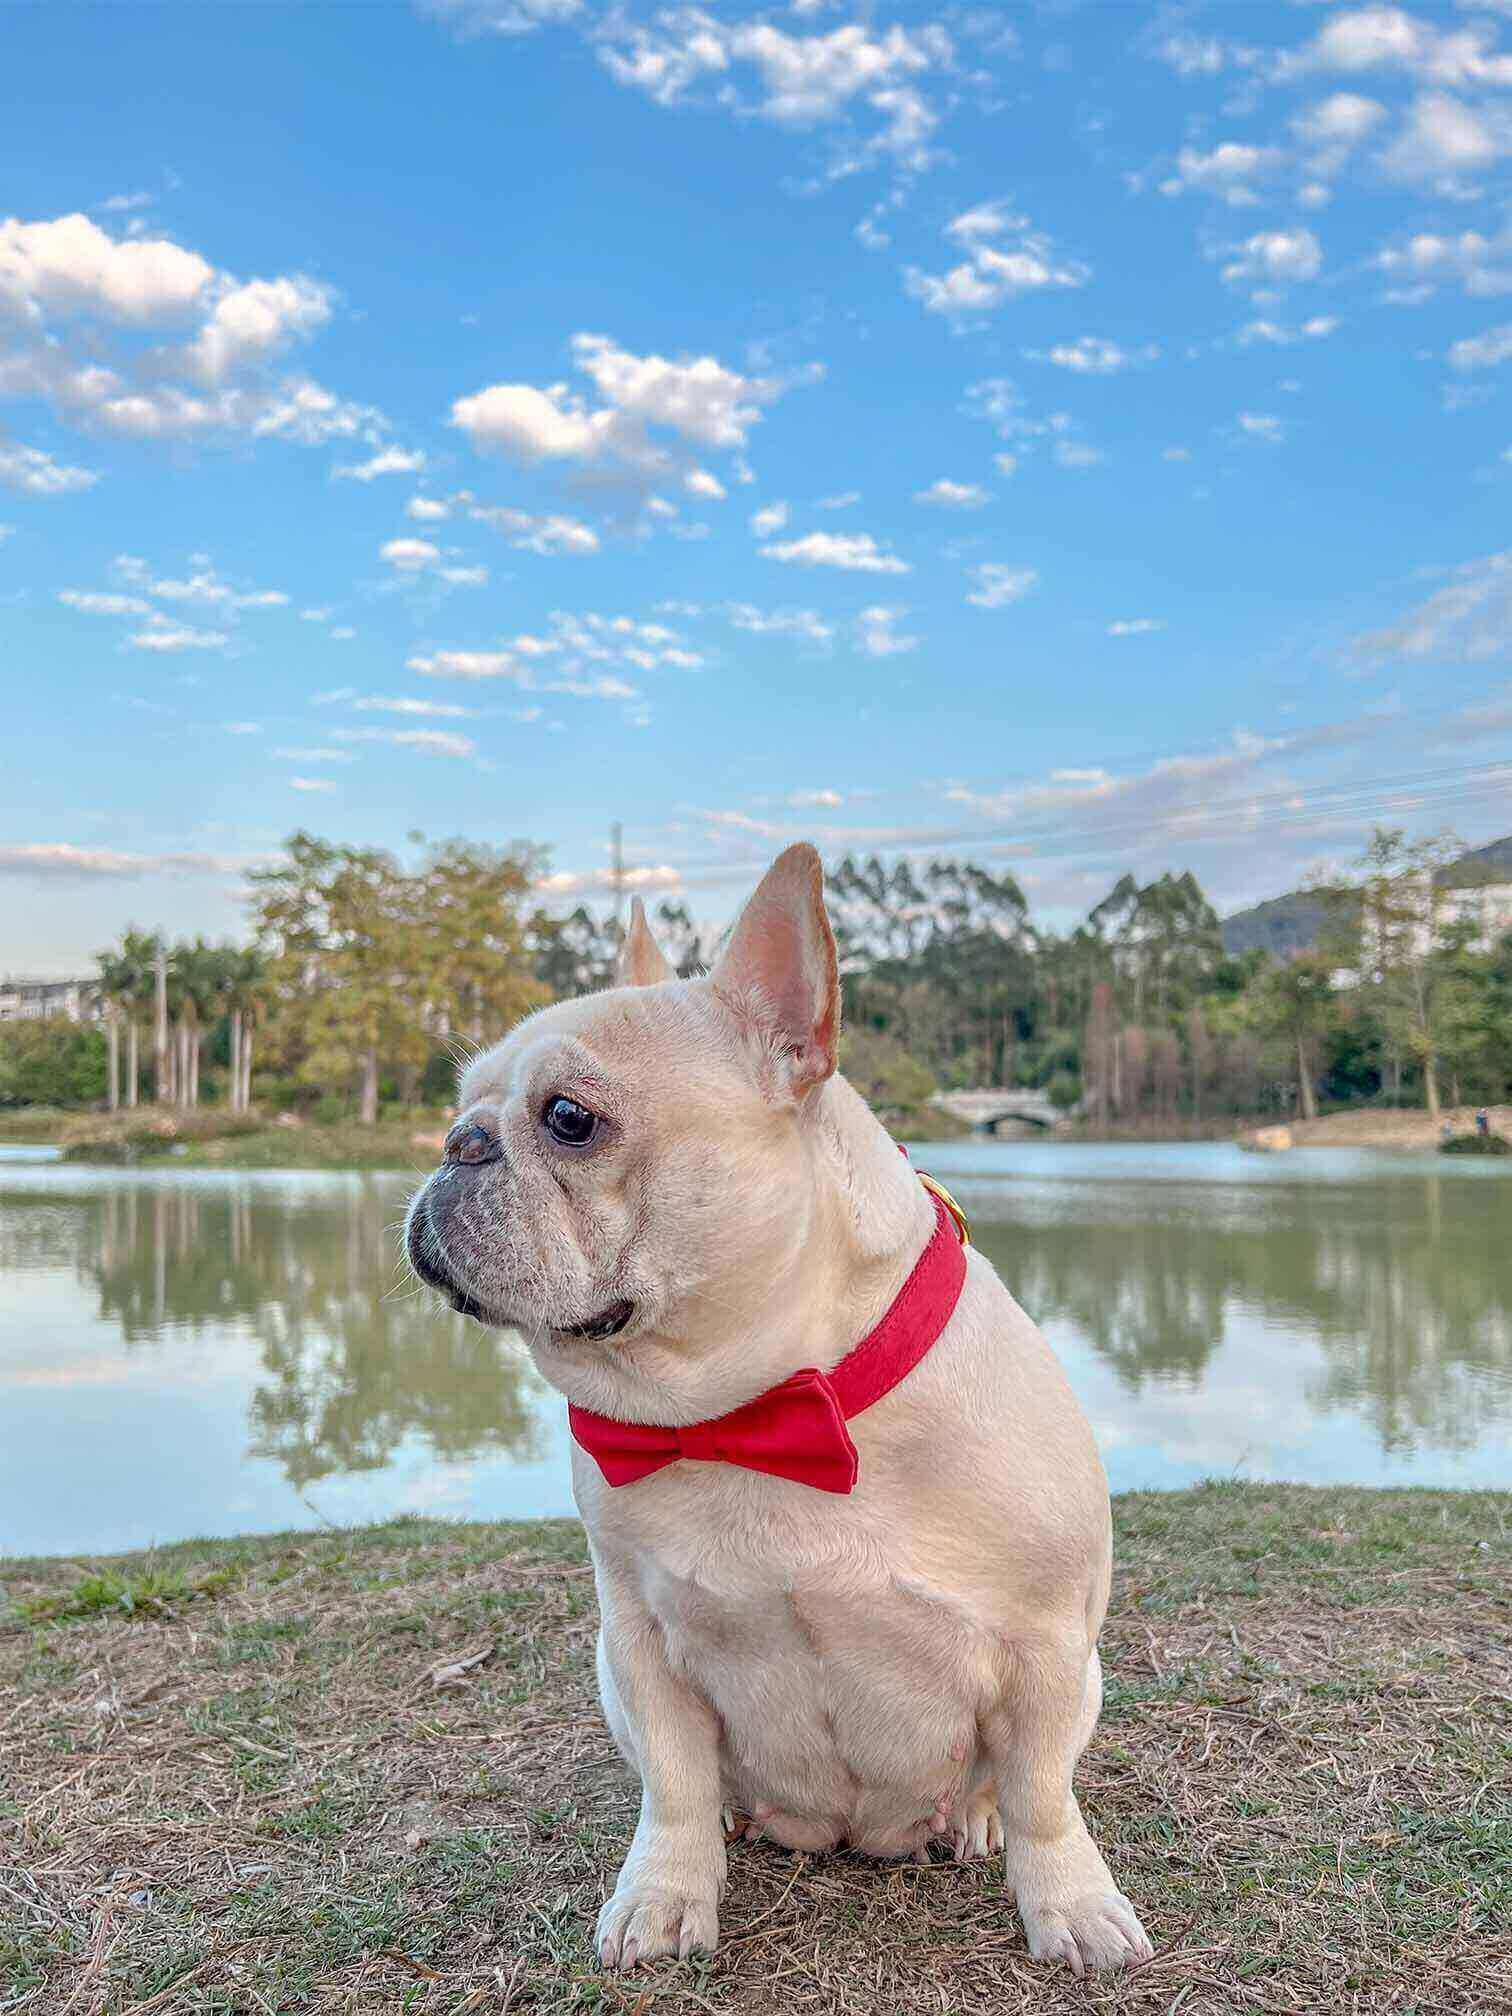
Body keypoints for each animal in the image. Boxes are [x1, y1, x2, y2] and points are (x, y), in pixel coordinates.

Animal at [409, 842, 1153, 1975]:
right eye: (464, 1103)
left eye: (569, 1120)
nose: (458, 1142)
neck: (763, 1406)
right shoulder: (640, 1646)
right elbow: (673, 1785)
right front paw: (667, 1892)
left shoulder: (1046, 1650)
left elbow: (1041, 1793)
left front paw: (1069, 1902)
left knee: (1004, 1780)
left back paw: (974, 1820)